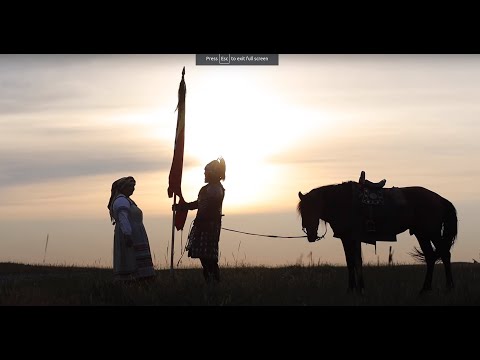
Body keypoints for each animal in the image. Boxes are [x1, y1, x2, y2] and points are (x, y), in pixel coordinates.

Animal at [296, 179, 458, 294]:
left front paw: (359, 289)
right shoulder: (346, 239)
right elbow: (350, 262)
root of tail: (440, 199)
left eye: (312, 208)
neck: (343, 202)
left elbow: (356, 261)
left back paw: (449, 287)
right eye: (303, 211)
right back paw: (425, 289)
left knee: (444, 254)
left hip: (432, 232)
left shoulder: (354, 238)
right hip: (422, 234)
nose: (310, 235)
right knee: (430, 257)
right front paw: (352, 289)